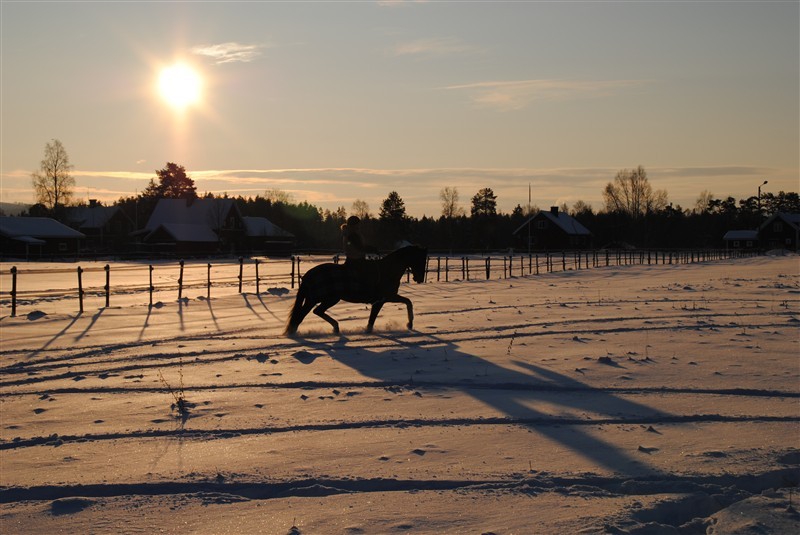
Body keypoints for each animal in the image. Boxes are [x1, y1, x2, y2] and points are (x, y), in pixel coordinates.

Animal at [284, 246, 428, 338]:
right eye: (420, 260)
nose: (420, 278)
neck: (388, 269)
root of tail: (309, 275)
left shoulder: (380, 301)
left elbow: (372, 319)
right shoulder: (386, 297)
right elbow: (408, 302)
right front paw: (409, 324)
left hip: (318, 299)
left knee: (312, 312)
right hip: (324, 299)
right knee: (307, 314)